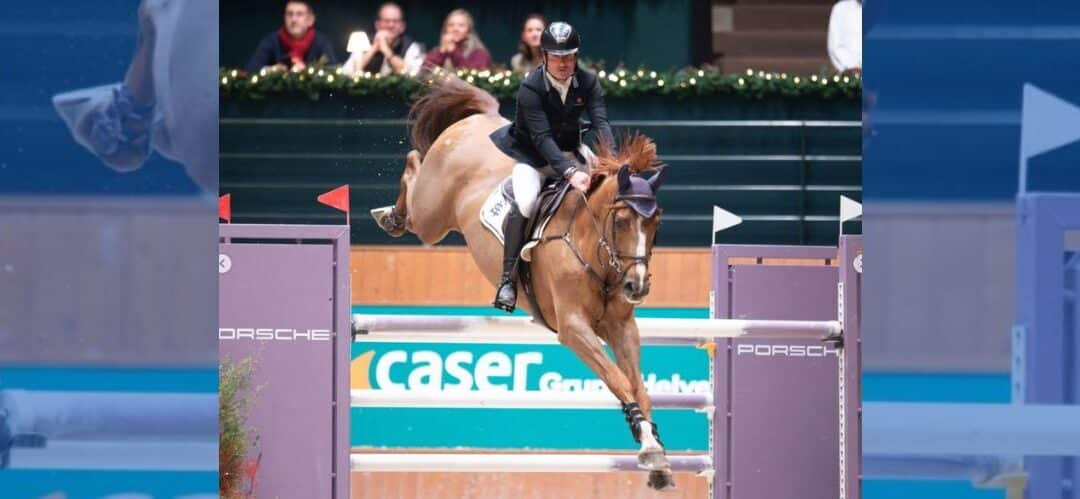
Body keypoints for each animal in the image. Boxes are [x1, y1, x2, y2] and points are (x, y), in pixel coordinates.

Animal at [371, 77, 673, 490]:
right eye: (623, 220)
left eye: (656, 223)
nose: (637, 287)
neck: (592, 249)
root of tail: (481, 119)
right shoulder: (573, 328)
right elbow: (617, 380)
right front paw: (648, 444)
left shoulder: (622, 327)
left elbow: (639, 386)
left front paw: (657, 454)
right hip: (431, 215)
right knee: (414, 166)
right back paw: (390, 215)